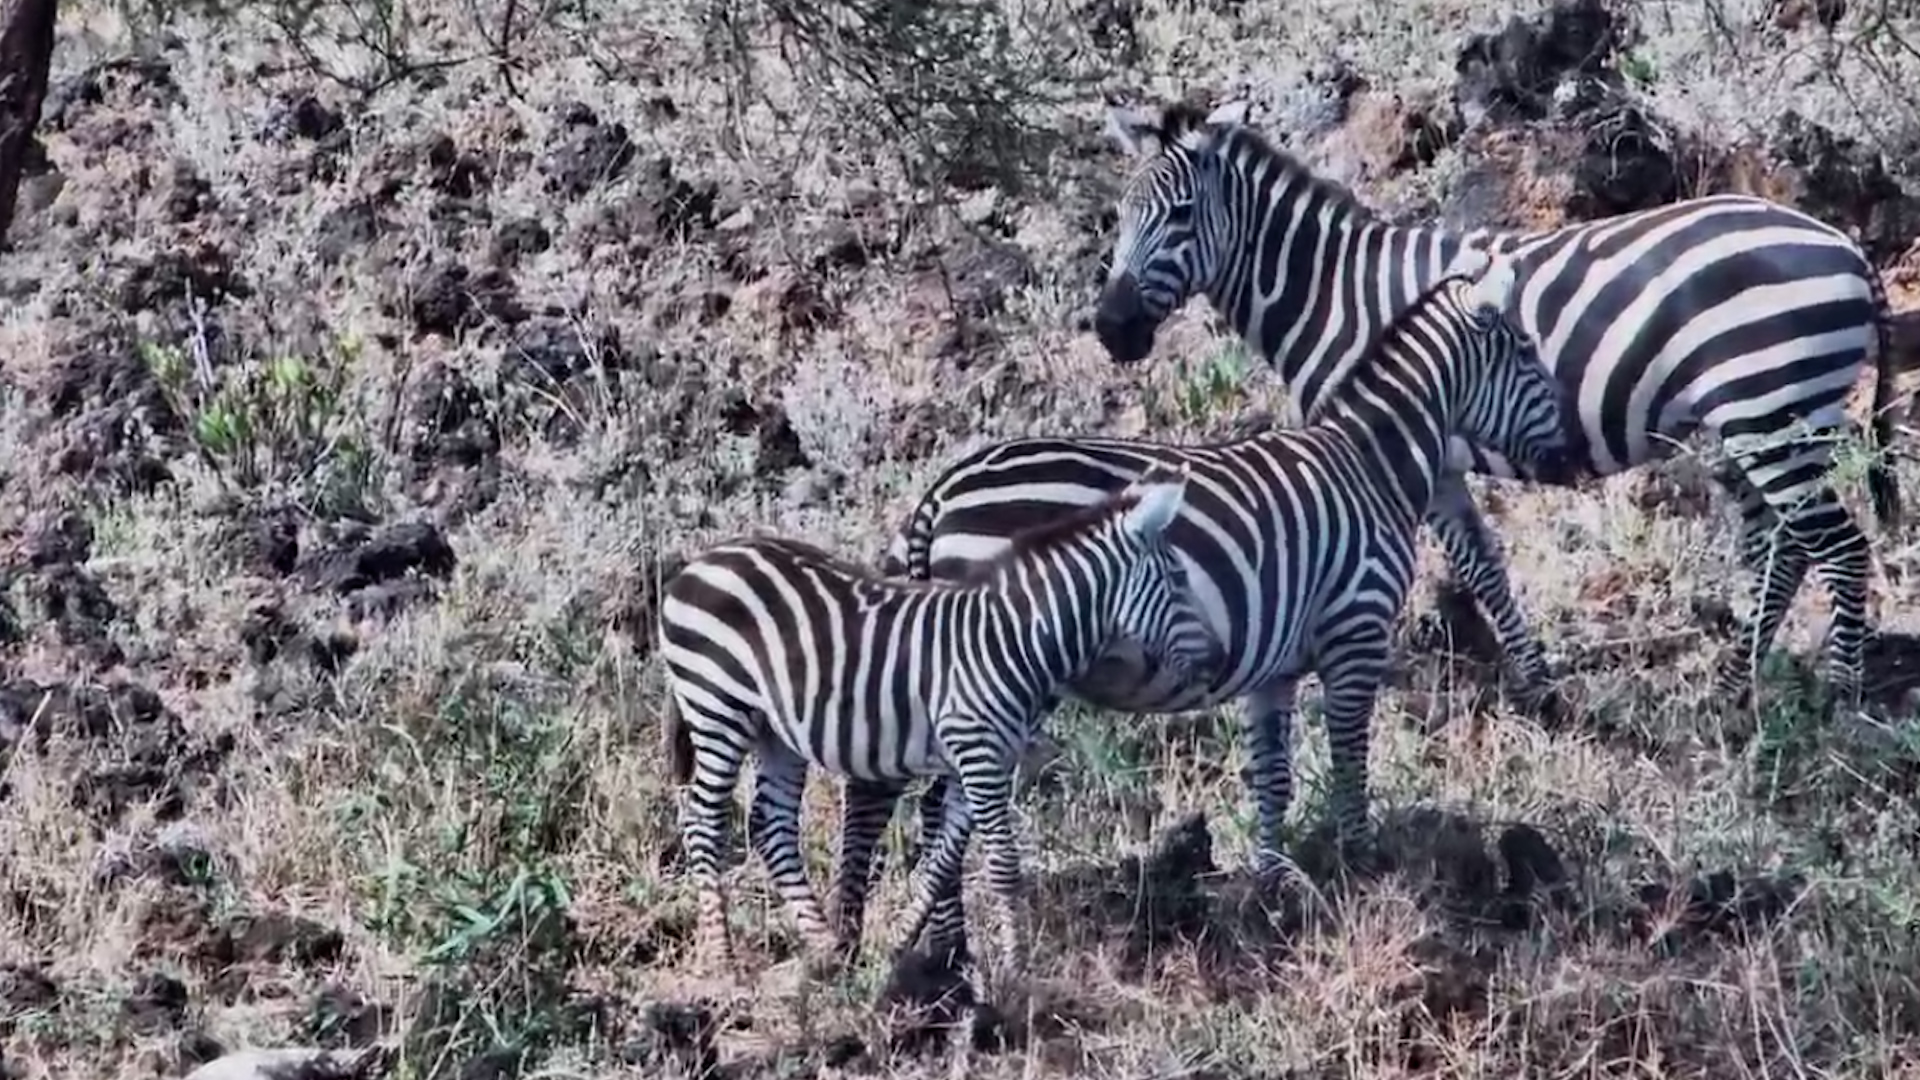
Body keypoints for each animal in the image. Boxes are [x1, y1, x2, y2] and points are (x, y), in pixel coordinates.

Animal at [656, 463, 1223, 982]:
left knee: (770, 824)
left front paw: (906, 945)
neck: (1015, 640)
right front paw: (1016, 971)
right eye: (1178, 580)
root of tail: (702, 561)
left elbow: (942, 859)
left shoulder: (982, 758)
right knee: (704, 821)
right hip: (716, 708)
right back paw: (723, 961)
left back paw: (826, 948)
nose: (1217, 657)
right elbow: (1002, 865)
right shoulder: (977, 751)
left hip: (775, 731)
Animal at [849, 248, 1568, 952]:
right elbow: (1349, 763)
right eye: (1526, 352)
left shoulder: (1276, 667)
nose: (1563, 456)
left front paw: (1272, 895)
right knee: (942, 806)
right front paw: (1363, 867)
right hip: (997, 674)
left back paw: (938, 946)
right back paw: (950, 948)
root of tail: (941, 490)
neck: (1371, 466)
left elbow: (1272, 777)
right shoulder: (1355, 634)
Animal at [1091, 93, 1902, 716]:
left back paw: (1842, 697)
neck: (1333, 295)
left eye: (1181, 214)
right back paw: (1733, 690)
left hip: (1772, 406)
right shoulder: (1432, 459)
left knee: (1836, 545)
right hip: (1757, 420)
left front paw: (1531, 690)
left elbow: (1461, 567)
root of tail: (1842, 243)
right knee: (1784, 547)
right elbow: (1484, 565)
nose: (1111, 328)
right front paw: (1539, 688)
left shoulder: (1394, 449)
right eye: (1121, 216)